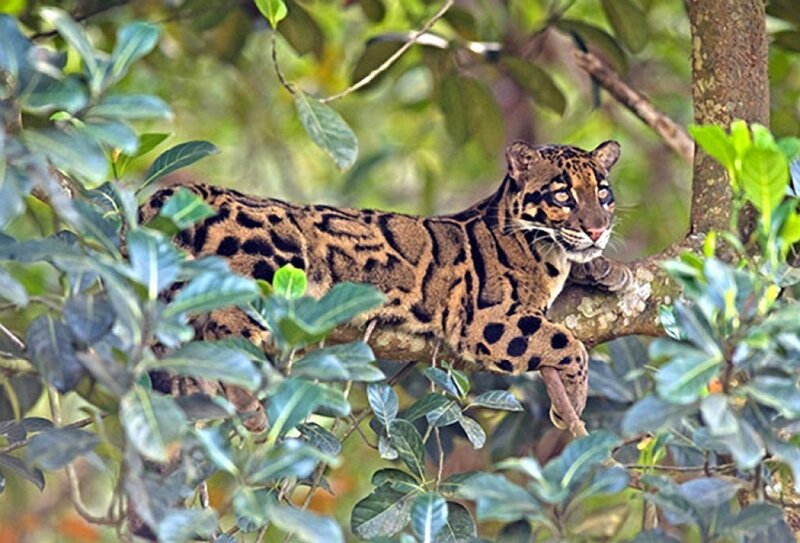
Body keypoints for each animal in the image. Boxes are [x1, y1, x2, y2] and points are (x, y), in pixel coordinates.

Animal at [140, 140, 631, 430]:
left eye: (603, 193)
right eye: (562, 195)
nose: (597, 228)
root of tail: (192, 190)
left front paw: (608, 268)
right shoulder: (485, 320)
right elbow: (569, 343)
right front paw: (573, 402)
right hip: (271, 261)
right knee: (224, 328)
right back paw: (244, 404)